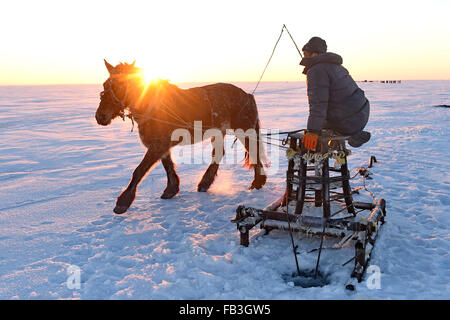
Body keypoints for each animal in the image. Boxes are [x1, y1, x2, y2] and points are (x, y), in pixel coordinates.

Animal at [95, 60, 268, 215]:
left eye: (120, 86)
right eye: (105, 85)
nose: (100, 116)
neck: (153, 107)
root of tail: (248, 95)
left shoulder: (159, 145)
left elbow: (139, 171)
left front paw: (123, 201)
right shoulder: (160, 146)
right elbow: (168, 166)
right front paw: (171, 189)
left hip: (244, 130)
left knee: (254, 152)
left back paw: (257, 182)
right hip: (219, 133)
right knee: (219, 154)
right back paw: (205, 183)